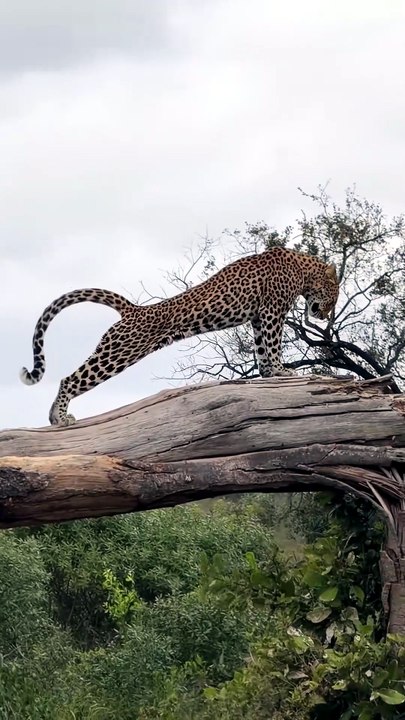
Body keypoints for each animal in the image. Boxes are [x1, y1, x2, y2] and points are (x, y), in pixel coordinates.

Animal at [20, 246, 339, 426]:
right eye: (334, 298)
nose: (325, 316)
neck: (303, 269)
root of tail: (134, 309)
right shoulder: (272, 311)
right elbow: (273, 344)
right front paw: (281, 370)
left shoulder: (260, 316)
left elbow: (262, 347)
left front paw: (270, 373)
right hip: (118, 352)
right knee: (69, 379)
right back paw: (59, 417)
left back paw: (54, 416)